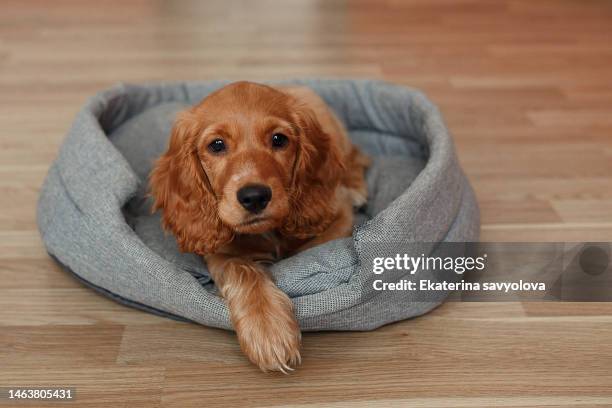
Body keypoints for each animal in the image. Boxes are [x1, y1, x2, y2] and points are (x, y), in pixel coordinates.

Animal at [149, 80, 368, 372]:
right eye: (216, 145)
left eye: (278, 139)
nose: (254, 197)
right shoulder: (220, 251)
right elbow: (242, 268)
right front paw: (268, 329)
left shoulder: (338, 214)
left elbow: (305, 253)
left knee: (356, 155)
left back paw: (356, 184)